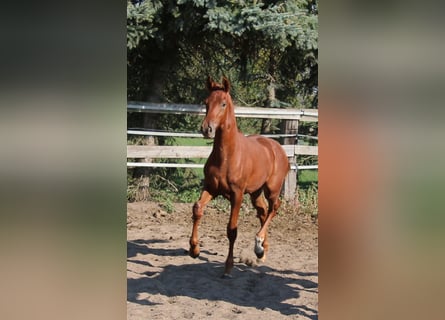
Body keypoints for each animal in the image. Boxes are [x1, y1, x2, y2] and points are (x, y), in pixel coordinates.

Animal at [187, 76, 288, 276]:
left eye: (223, 103)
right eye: (206, 103)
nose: (206, 129)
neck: (227, 156)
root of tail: (278, 148)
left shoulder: (237, 195)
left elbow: (231, 230)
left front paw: (228, 266)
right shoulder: (211, 188)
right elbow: (197, 209)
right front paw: (194, 250)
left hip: (272, 189)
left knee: (274, 208)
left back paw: (259, 242)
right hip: (256, 192)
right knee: (263, 211)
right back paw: (261, 252)